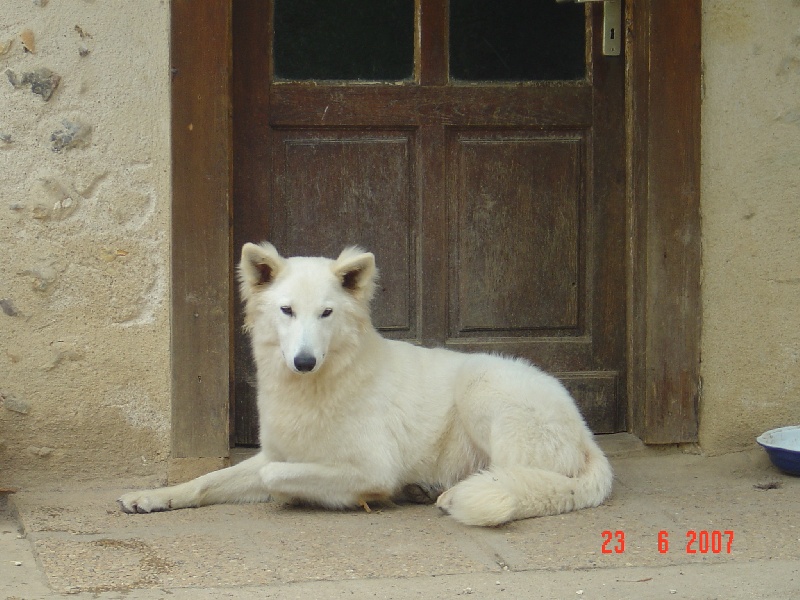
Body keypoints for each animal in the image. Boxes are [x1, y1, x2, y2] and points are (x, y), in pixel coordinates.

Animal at [115, 244, 608, 524]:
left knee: (520, 482)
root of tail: (585, 434)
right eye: (287, 310)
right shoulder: (274, 453)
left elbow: (280, 479)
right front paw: (153, 497)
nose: (304, 361)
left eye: (327, 313)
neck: (319, 386)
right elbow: (204, 481)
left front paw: (336, 497)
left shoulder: (370, 467)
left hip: (483, 391)